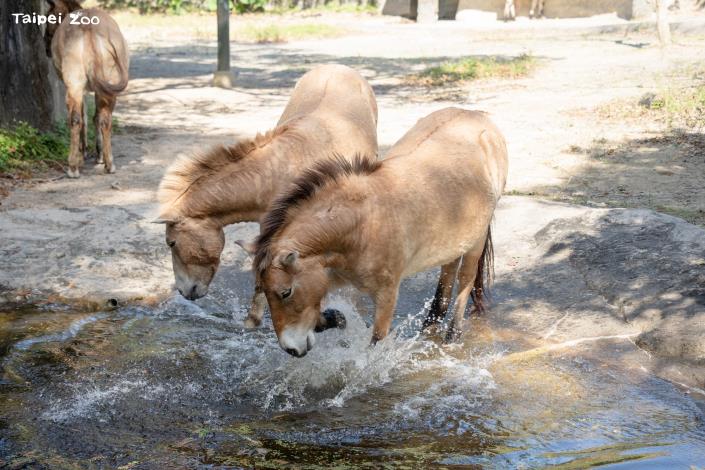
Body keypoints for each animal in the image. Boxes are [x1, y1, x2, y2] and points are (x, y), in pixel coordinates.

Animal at [44, 0, 129, 178]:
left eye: (49, 18)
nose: (46, 48)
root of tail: (89, 29)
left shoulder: (79, 88)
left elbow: (84, 117)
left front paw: (83, 153)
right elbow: (96, 117)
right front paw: (99, 155)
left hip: (74, 85)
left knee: (75, 119)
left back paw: (73, 166)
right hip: (108, 85)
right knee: (105, 120)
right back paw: (109, 163)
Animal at [253, 107, 508, 357]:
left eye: (285, 292)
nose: (291, 349)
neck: (362, 225)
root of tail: (477, 115)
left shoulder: (386, 295)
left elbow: (375, 345)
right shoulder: (327, 277)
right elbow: (318, 318)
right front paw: (337, 318)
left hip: (476, 242)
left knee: (465, 280)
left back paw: (452, 336)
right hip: (454, 242)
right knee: (447, 277)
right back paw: (429, 327)